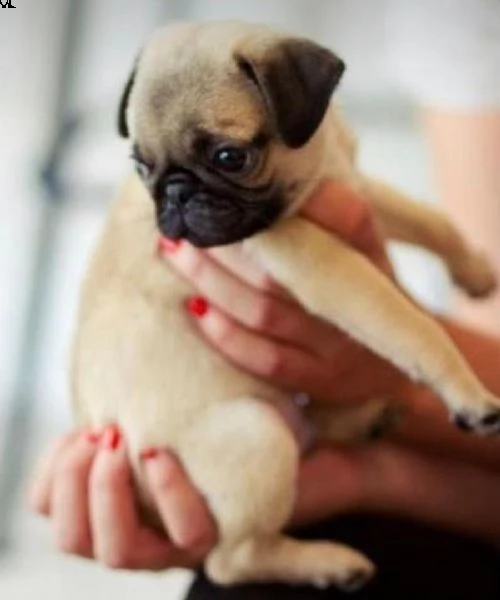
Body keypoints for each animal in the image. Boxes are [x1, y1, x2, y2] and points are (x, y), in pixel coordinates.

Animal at [72, 22, 498, 592]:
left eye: (230, 157)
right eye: (142, 167)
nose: (175, 194)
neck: (315, 166)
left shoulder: (353, 188)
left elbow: (430, 220)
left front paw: (474, 271)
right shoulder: (322, 265)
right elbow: (411, 324)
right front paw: (468, 393)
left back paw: (367, 421)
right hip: (259, 436)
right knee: (232, 560)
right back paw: (329, 563)